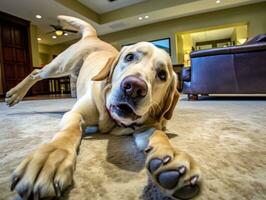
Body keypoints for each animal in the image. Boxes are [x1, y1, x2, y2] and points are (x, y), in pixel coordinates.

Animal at [6, 16, 202, 200]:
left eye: (162, 75)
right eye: (129, 57)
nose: (134, 87)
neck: (113, 121)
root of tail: (93, 36)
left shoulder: (147, 127)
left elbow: (160, 135)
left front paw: (171, 157)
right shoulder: (76, 114)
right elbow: (69, 132)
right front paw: (51, 157)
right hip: (61, 65)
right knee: (36, 72)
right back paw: (14, 94)